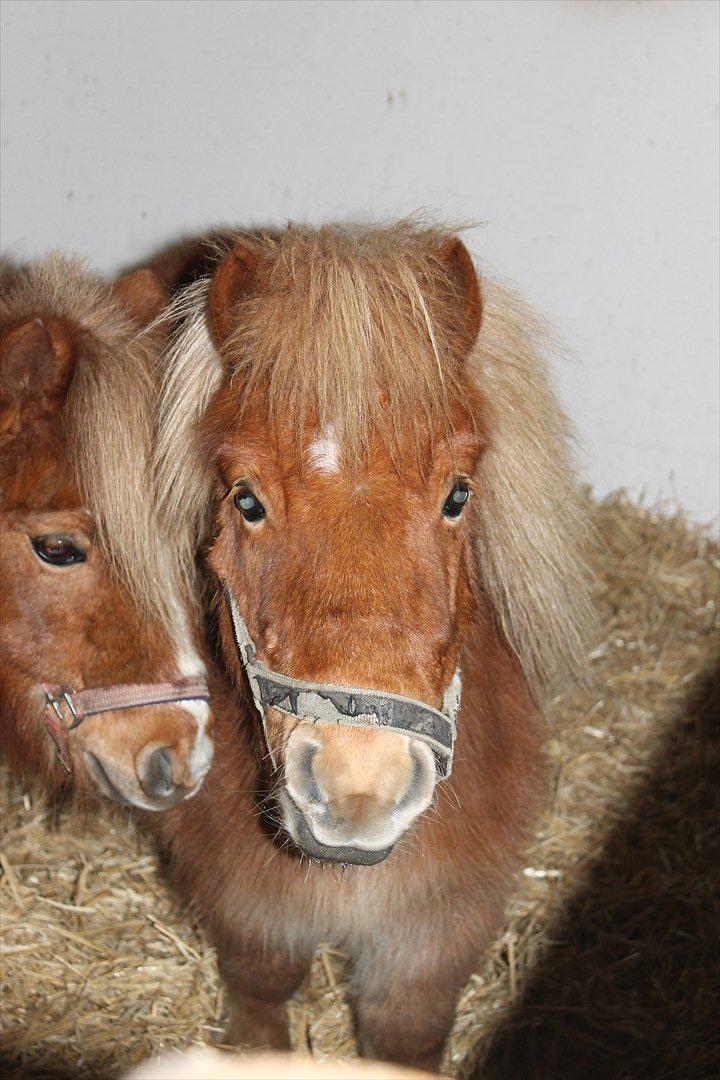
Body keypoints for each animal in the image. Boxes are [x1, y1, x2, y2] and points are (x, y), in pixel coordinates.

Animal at [147, 223, 595, 1067]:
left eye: (458, 493)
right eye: (246, 500)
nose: (362, 789)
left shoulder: (435, 931)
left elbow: (404, 1031)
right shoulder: (248, 904)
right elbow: (262, 988)